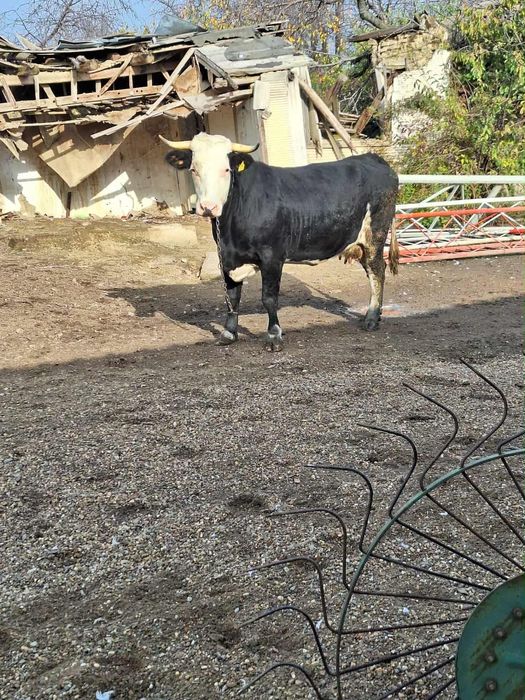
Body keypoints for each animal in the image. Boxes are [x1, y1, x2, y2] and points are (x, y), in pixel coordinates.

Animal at [160, 132, 399, 352]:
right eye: (194, 169)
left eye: (226, 170)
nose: (208, 207)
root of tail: (372, 158)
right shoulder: (227, 257)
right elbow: (232, 296)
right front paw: (229, 333)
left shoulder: (272, 257)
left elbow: (269, 298)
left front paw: (274, 336)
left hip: (375, 236)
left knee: (377, 272)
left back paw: (371, 318)